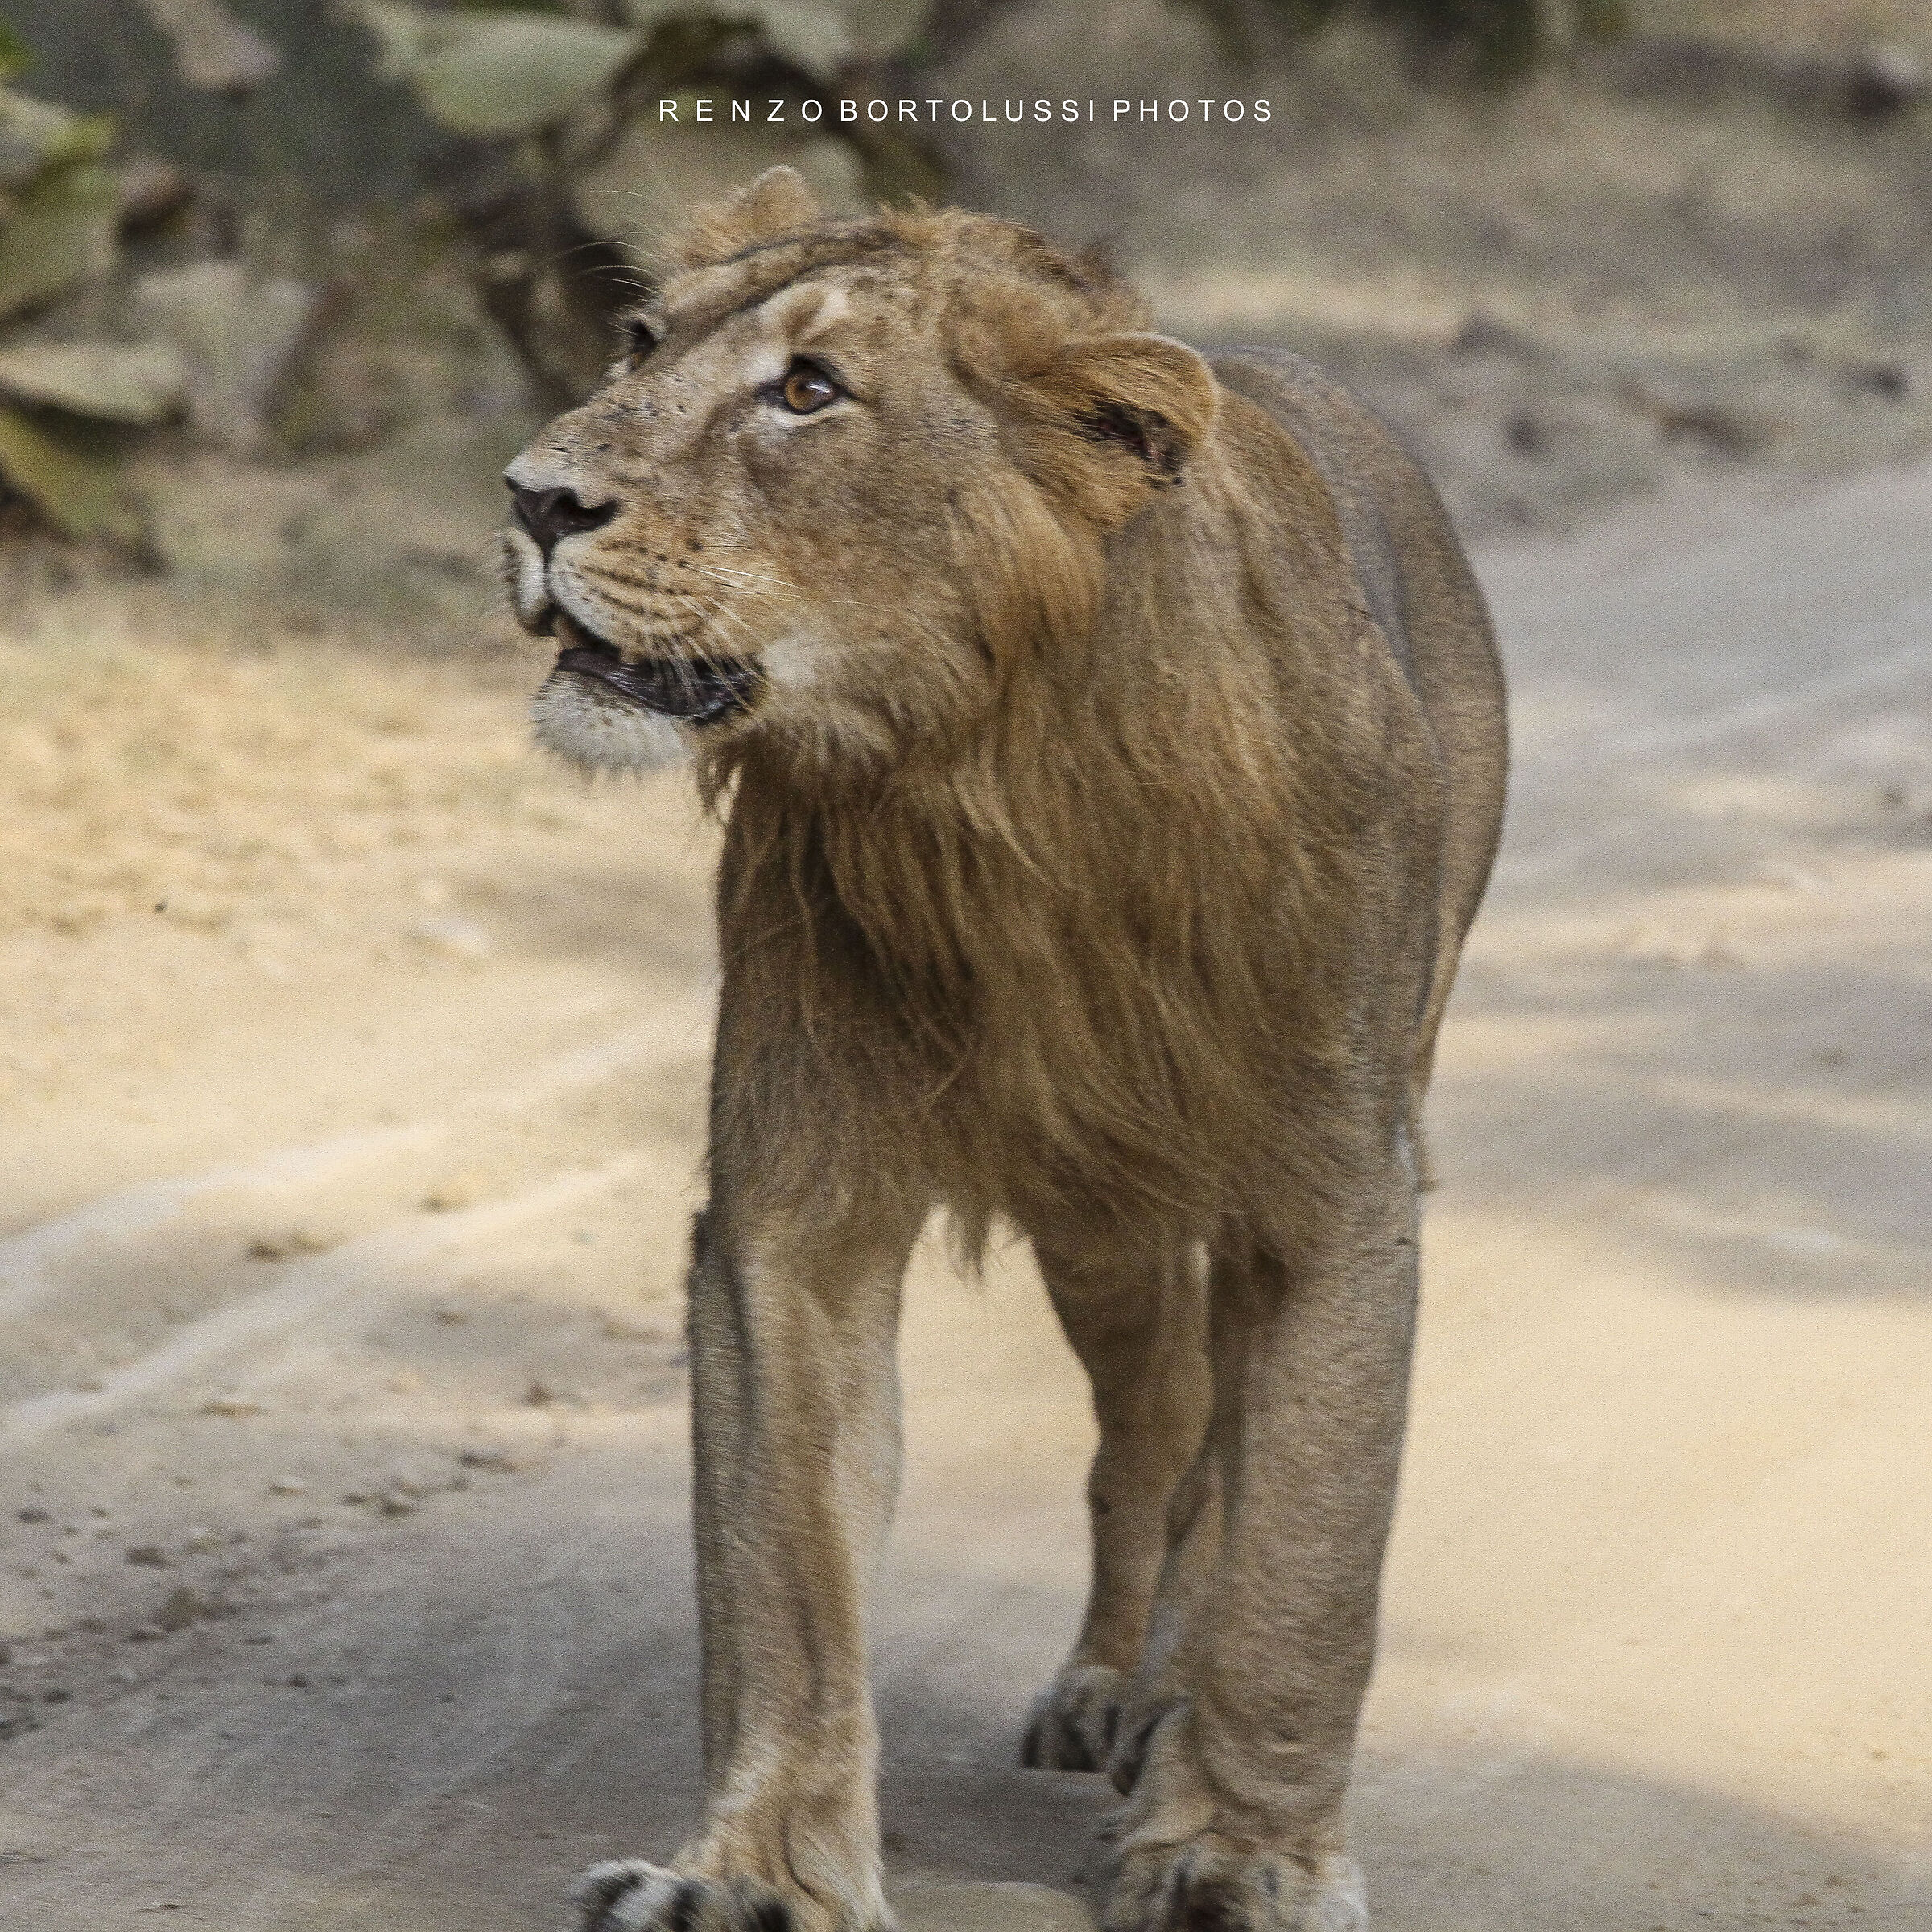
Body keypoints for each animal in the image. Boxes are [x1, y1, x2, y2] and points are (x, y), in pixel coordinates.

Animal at [499, 167, 1507, 1932]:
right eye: (637, 343)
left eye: (809, 391)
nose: (532, 499)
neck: (990, 777)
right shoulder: (794, 1210)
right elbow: (787, 1567)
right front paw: (759, 1878)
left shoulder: (1334, 1194)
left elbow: (1305, 1557)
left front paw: (1237, 1848)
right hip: (1101, 1223)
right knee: (1154, 1429)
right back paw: (1110, 1684)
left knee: (1226, 1454)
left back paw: (1163, 1716)